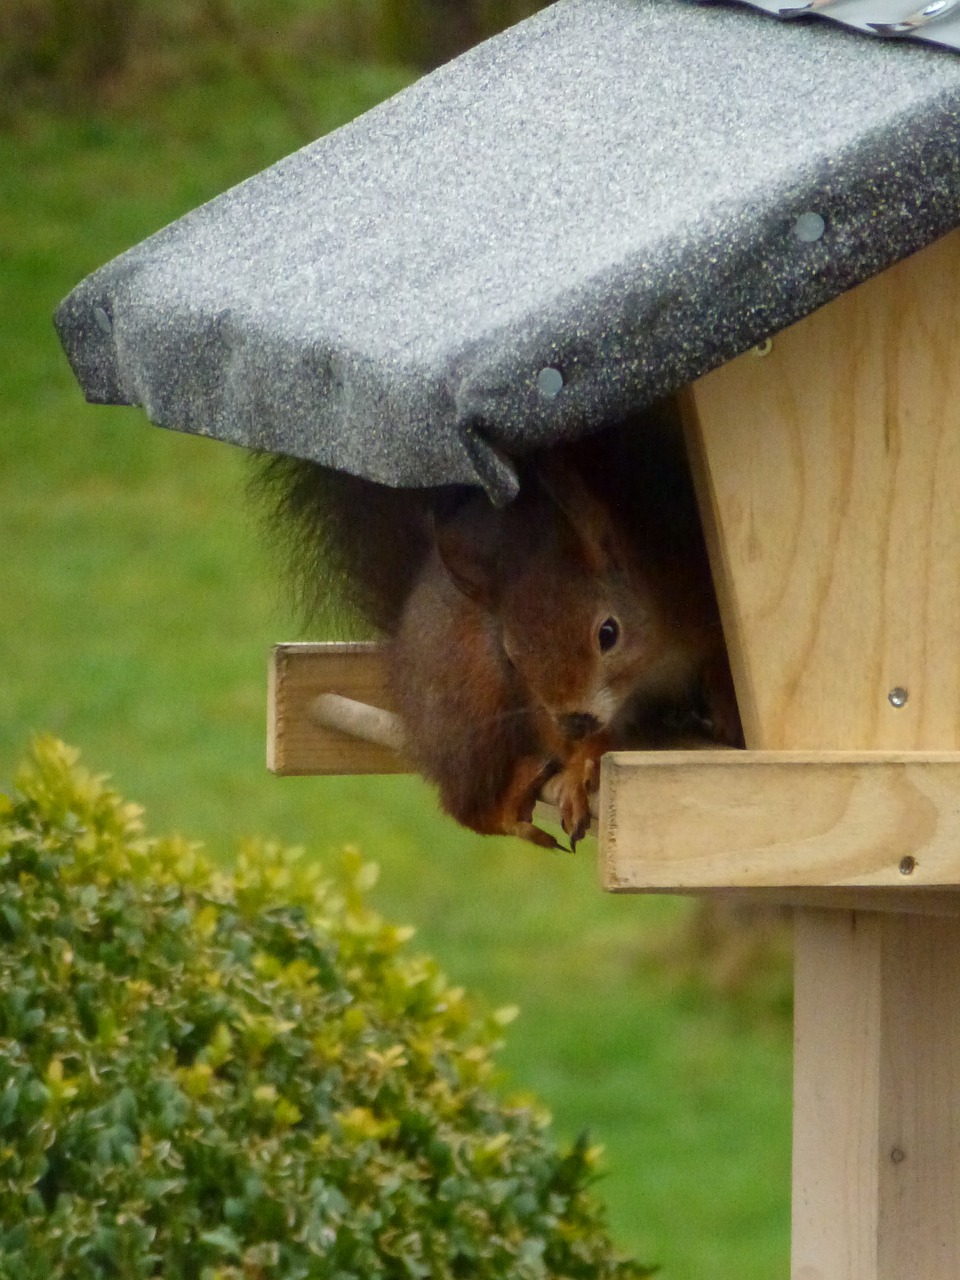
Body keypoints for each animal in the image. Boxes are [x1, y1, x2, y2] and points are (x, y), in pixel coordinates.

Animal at [253, 401, 737, 849]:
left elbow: (717, 659)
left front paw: (724, 703)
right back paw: (510, 808)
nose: (574, 722)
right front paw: (580, 766)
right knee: (465, 802)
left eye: (608, 633)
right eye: (511, 657)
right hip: (470, 705)